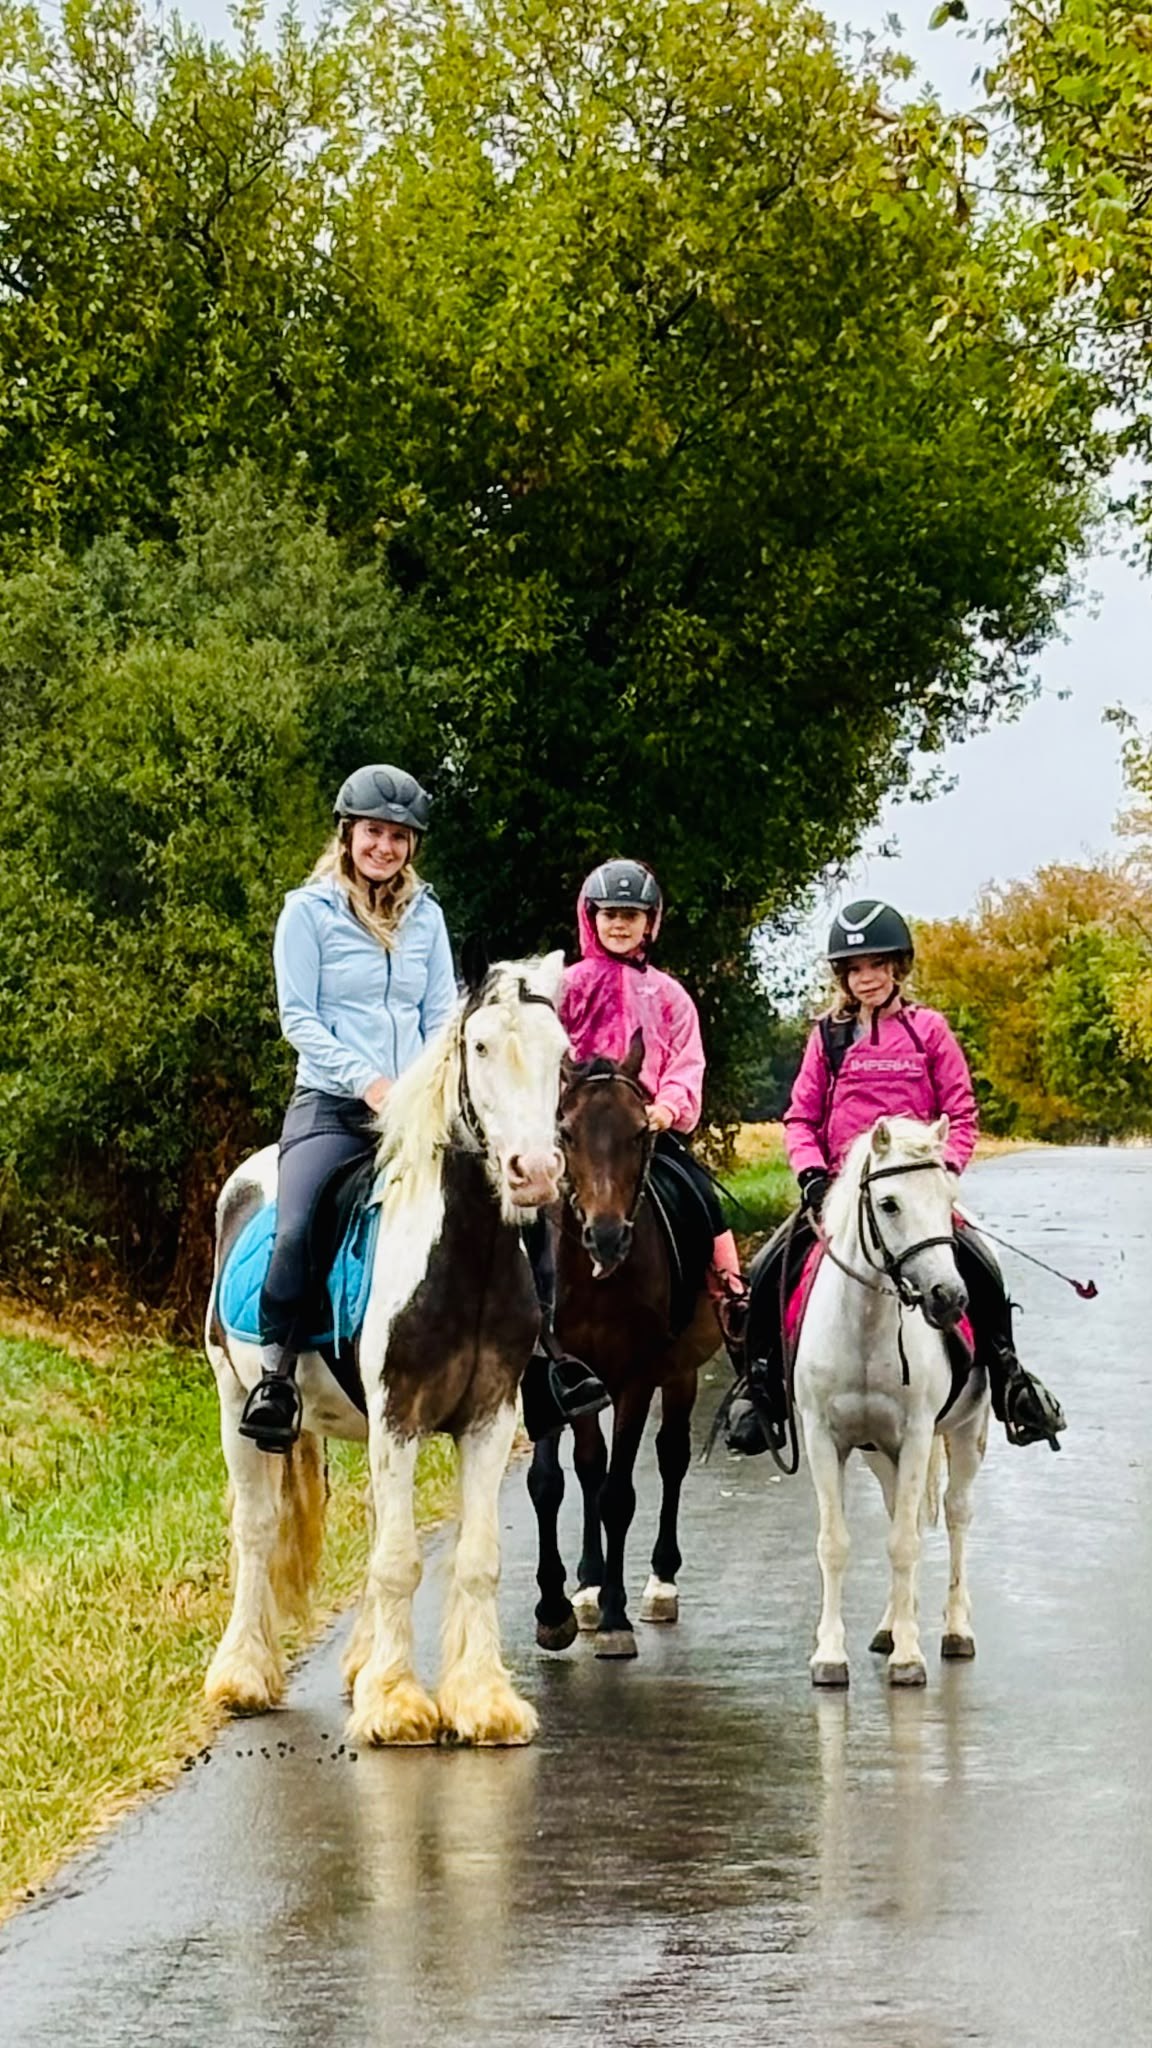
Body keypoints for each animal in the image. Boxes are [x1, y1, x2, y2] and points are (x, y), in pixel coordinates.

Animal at [203, 952, 571, 1746]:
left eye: (561, 1054)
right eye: (481, 1047)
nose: (533, 1172)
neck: (463, 1260)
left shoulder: (489, 1418)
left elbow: (475, 1559)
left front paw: (483, 1701)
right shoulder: (399, 1416)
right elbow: (400, 1561)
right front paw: (398, 1706)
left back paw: (357, 1662)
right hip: (234, 1400)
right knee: (256, 1529)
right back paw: (243, 1675)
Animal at [528, 1036, 722, 1661]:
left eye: (641, 1132)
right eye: (565, 1131)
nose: (607, 1237)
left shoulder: (637, 1378)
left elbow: (618, 1492)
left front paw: (614, 1618)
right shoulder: (559, 1379)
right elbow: (563, 1479)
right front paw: (561, 1607)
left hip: (680, 1375)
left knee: (671, 1456)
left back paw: (660, 1582)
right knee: (591, 1471)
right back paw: (587, 1586)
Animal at [793, 1113, 990, 1689]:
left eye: (947, 1195)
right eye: (889, 1203)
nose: (950, 1298)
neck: (865, 1323)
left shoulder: (920, 1434)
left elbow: (905, 1542)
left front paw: (908, 1657)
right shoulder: (822, 1437)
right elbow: (836, 1543)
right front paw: (830, 1655)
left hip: (966, 1433)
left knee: (956, 1514)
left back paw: (954, 1629)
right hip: (881, 1454)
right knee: (898, 1515)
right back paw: (888, 1625)